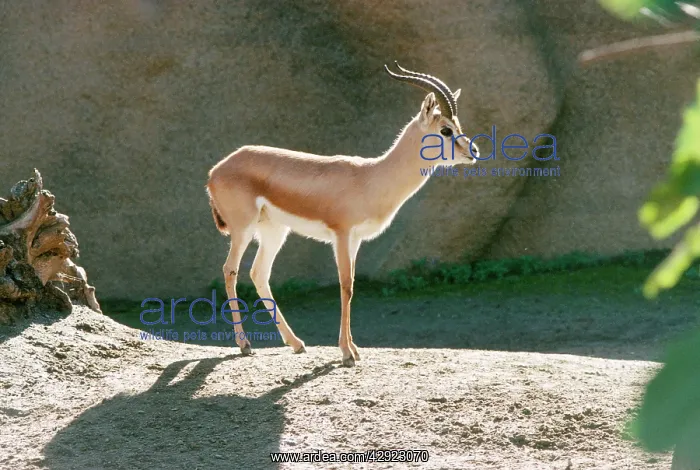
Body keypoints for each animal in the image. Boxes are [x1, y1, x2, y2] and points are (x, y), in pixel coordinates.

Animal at [206, 62, 479, 366]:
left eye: (458, 126)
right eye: (445, 130)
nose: (474, 151)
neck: (370, 177)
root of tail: (215, 171)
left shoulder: (356, 239)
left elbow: (351, 287)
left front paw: (354, 349)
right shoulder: (341, 234)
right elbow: (345, 285)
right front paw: (347, 353)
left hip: (274, 231)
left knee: (259, 273)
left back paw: (296, 343)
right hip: (243, 229)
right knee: (230, 270)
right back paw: (245, 345)